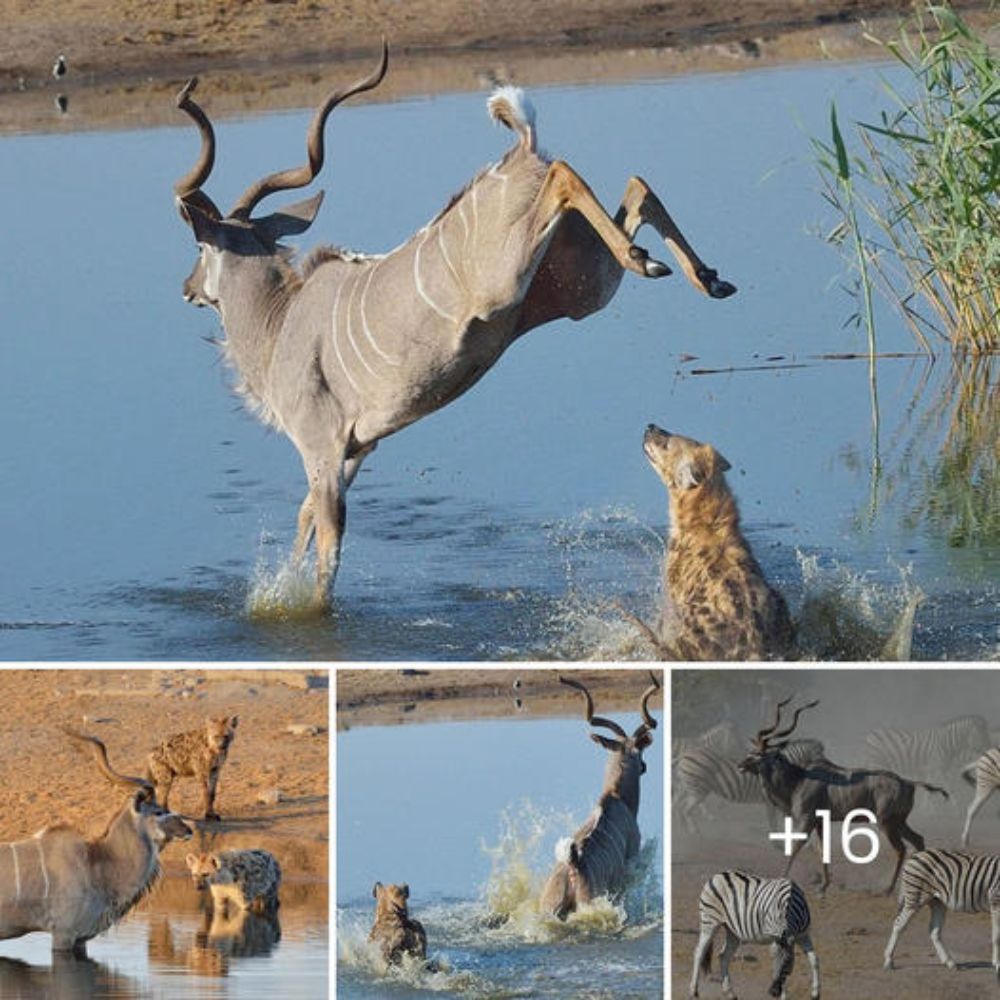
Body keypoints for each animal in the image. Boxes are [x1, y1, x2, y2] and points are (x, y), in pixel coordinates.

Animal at [172, 43, 736, 604]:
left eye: (201, 248)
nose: (187, 289)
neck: (280, 322)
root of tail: (521, 153)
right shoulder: (357, 448)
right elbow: (306, 518)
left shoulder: (323, 450)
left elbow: (326, 545)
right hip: (586, 286)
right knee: (637, 186)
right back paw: (699, 275)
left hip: (505, 277)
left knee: (566, 175)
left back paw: (653, 261)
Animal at [688, 868, 820, 1000]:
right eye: (772, 960)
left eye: (787, 962)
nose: (773, 992)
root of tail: (717, 875)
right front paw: (783, 995)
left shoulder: (803, 935)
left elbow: (814, 960)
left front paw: (816, 993)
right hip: (709, 921)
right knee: (699, 952)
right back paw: (693, 991)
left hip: (732, 931)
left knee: (723, 956)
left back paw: (730, 993)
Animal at [740, 700, 948, 896]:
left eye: (758, 754)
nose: (740, 765)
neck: (798, 779)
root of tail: (907, 782)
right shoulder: (820, 822)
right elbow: (822, 850)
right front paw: (823, 887)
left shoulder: (806, 820)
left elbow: (794, 847)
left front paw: (782, 879)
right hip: (899, 821)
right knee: (918, 840)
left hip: (886, 822)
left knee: (901, 849)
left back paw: (888, 890)